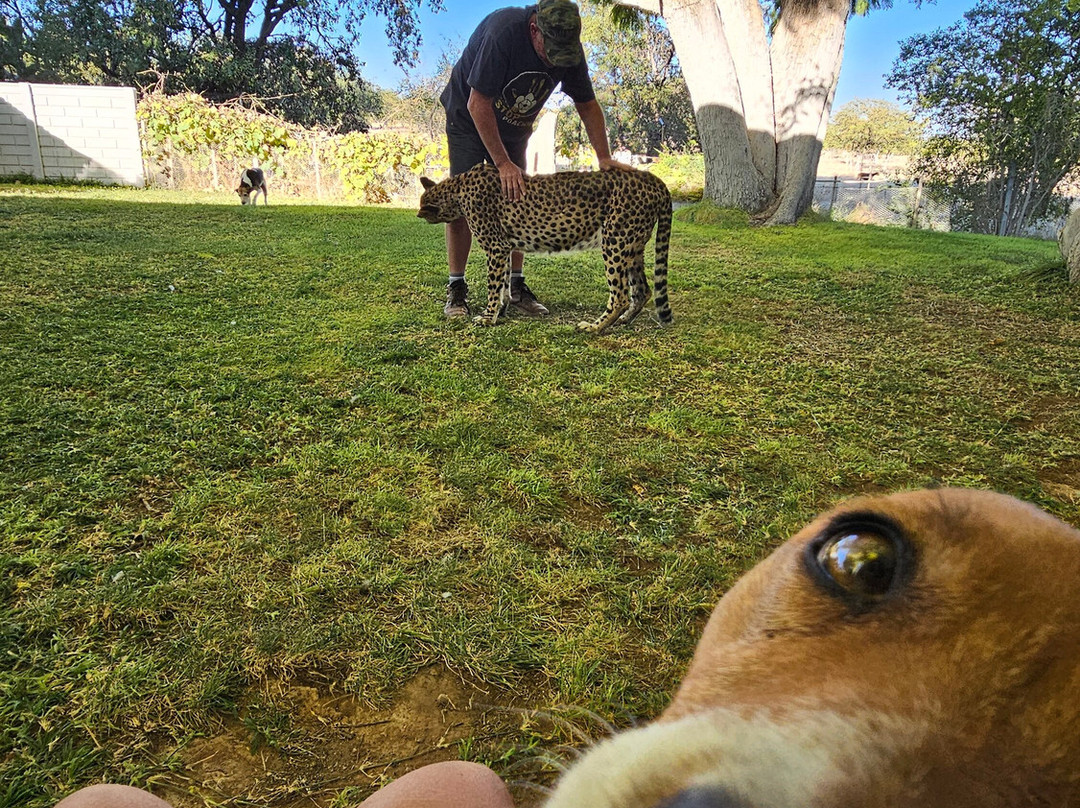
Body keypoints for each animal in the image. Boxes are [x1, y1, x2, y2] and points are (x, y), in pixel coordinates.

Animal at [417, 163, 673, 333]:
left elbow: (494, 286)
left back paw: (594, 327)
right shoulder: (505, 247)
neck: (457, 189)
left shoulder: (496, 247)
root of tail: (653, 178)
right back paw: (624, 320)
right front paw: (501, 310)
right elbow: (503, 283)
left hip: (615, 241)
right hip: (633, 246)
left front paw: (488, 317)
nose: (419, 214)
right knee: (642, 290)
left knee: (620, 295)